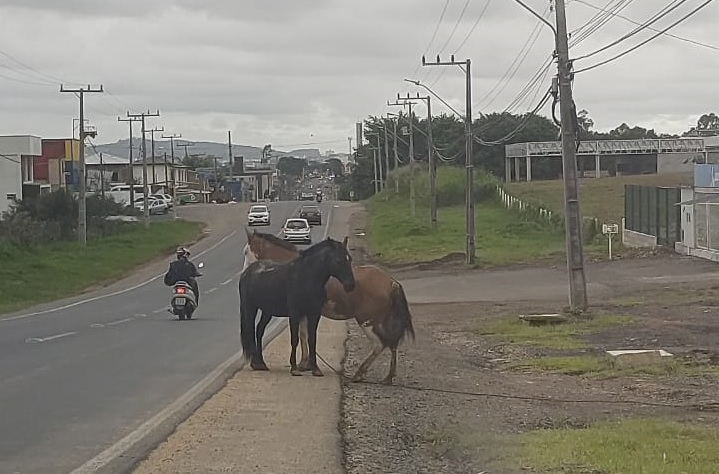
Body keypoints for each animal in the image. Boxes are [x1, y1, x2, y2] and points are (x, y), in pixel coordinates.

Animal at [245, 227, 416, 386]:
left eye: (246, 251)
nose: (244, 271)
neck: (301, 270)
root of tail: (392, 282)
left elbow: (302, 335)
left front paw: (303, 364)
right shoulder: (306, 313)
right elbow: (305, 335)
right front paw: (305, 364)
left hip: (368, 321)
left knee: (380, 344)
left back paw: (359, 373)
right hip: (383, 320)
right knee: (393, 342)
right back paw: (388, 377)